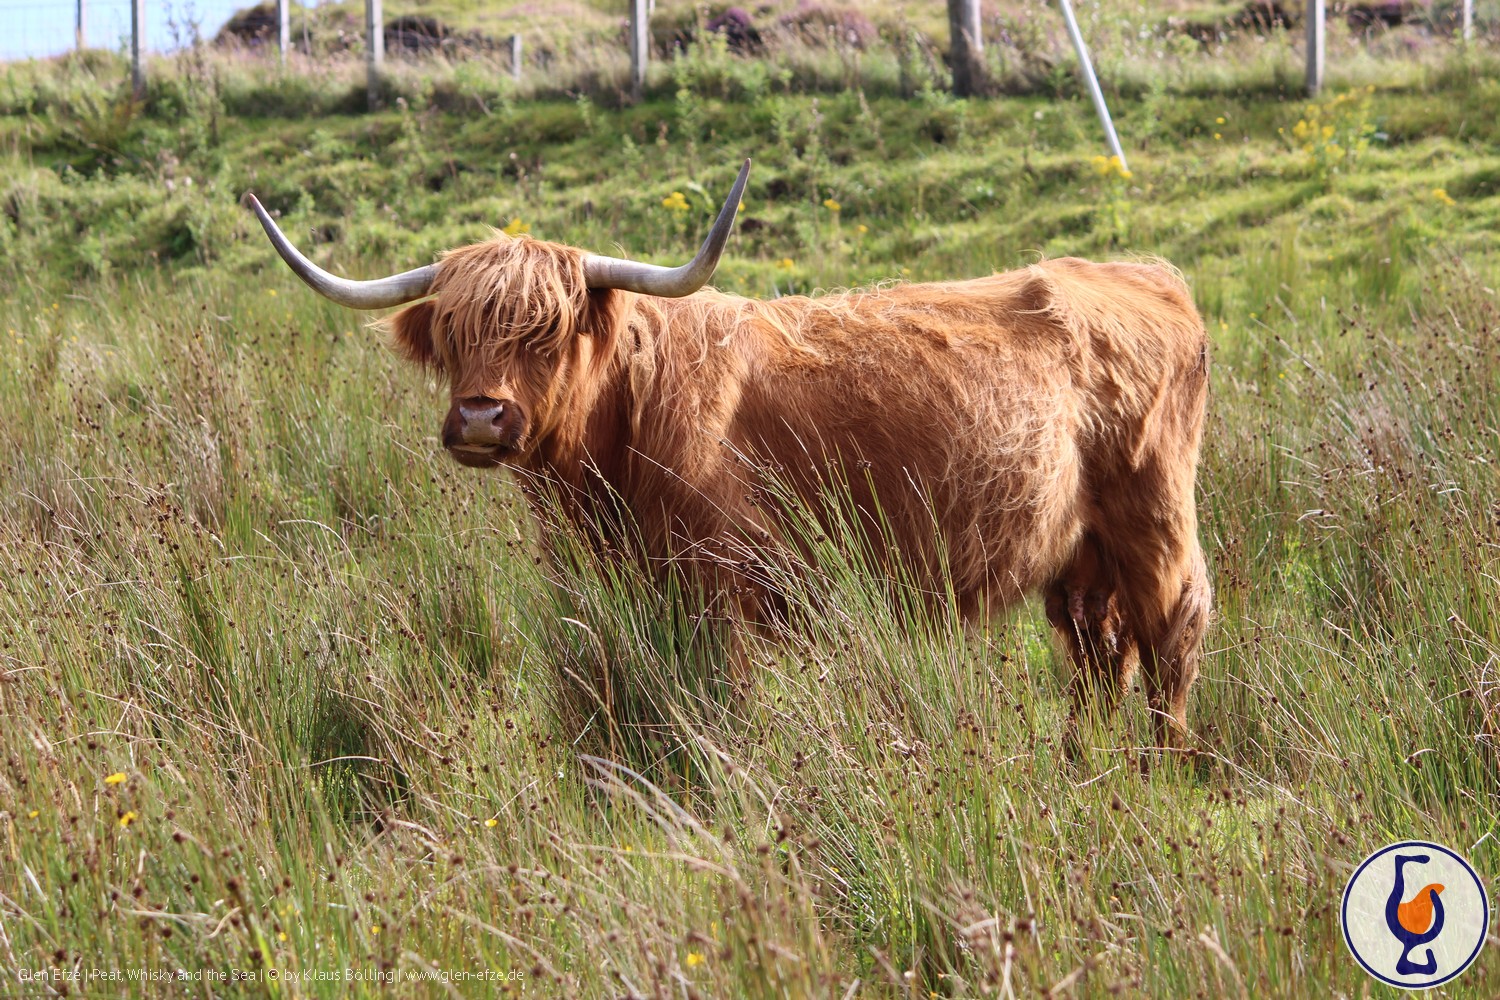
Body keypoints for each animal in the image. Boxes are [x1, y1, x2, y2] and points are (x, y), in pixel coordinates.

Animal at [243, 158, 1206, 749]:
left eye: (547, 331)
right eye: (451, 332)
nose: (482, 417)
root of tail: (1141, 272)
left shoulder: (723, 590)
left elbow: (725, 707)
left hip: (1154, 521)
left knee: (1171, 638)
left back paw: (1159, 771)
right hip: (1079, 555)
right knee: (1098, 657)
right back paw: (1084, 765)